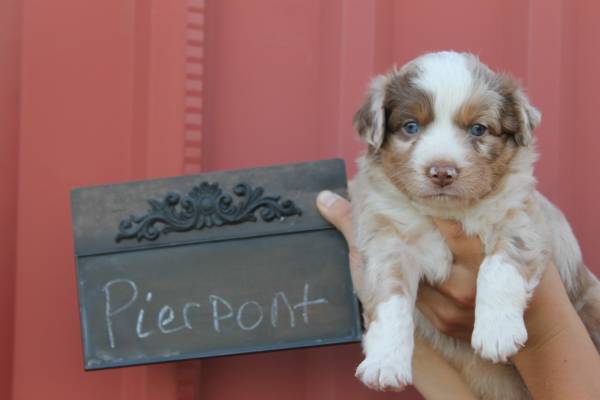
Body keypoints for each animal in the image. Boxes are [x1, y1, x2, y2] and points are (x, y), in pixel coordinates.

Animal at [350, 51, 600, 398]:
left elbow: (498, 268)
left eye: (478, 129)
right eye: (411, 127)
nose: (442, 171)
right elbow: (390, 299)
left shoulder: (521, 218)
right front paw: (385, 362)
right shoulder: (389, 241)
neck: (449, 213)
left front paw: (497, 331)